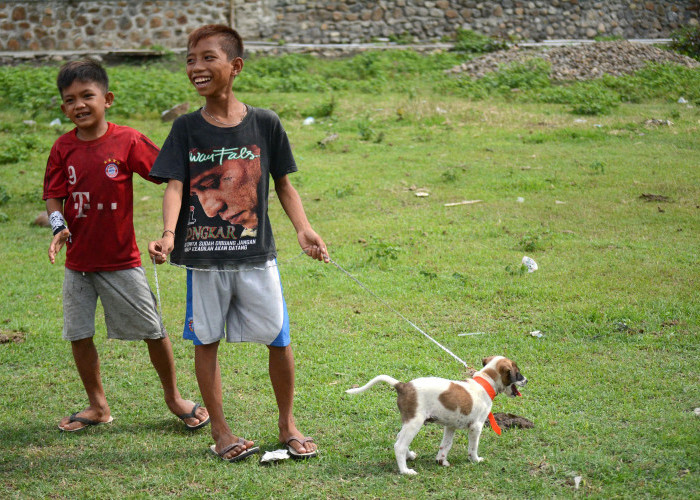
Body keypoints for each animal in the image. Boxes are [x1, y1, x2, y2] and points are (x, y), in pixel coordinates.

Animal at [344, 354, 524, 474]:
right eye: (518, 372)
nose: (526, 380)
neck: (485, 382)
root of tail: (402, 386)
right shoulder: (476, 427)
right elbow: (473, 447)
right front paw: (475, 460)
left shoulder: (450, 426)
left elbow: (446, 444)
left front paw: (441, 460)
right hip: (414, 422)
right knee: (399, 445)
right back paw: (405, 470)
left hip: (409, 422)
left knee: (399, 438)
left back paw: (410, 456)